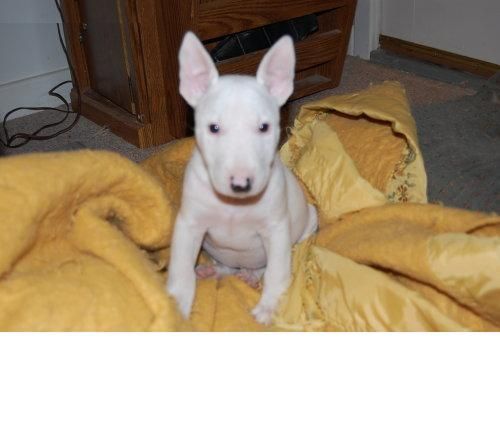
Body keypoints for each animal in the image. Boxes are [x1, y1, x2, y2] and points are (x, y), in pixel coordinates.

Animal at [167, 32, 316, 324]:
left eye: (264, 127)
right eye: (213, 127)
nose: (240, 184)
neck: (234, 207)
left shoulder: (276, 229)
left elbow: (276, 272)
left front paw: (267, 308)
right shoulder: (189, 224)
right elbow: (181, 269)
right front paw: (177, 306)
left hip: (309, 221)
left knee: (263, 266)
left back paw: (249, 275)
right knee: (227, 267)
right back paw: (213, 271)